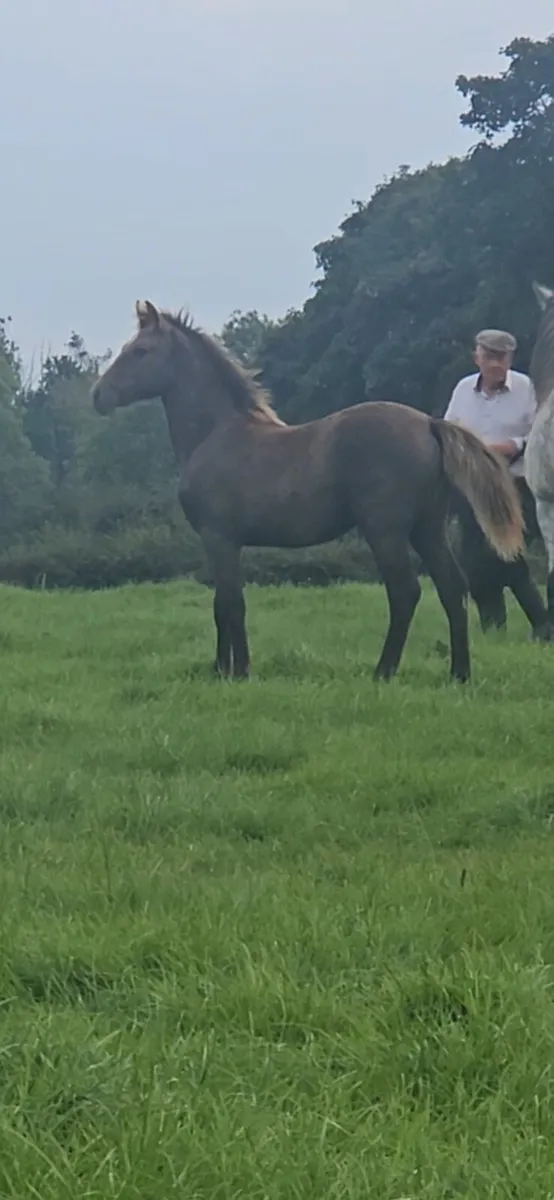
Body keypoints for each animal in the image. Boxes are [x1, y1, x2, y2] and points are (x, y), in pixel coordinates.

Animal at [91, 300, 524, 684]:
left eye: (140, 351)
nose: (98, 396)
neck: (215, 434)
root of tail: (429, 423)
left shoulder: (219, 538)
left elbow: (231, 603)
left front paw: (238, 671)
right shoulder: (224, 543)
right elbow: (222, 604)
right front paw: (221, 669)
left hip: (385, 530)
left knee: (405, 592)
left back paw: (383, 672)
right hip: (427, 529)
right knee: (453, 588)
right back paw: (459, 674)